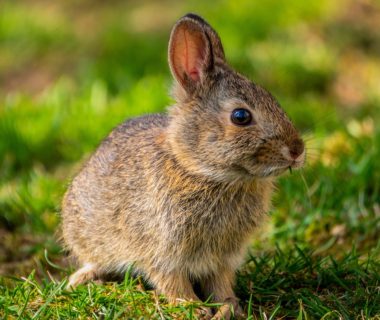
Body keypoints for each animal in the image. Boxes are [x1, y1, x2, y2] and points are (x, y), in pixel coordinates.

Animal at [62, 13, 306, 320]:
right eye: (241, 116)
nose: (297, 150)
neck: (201, 171)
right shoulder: (161, 251)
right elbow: (171, 281)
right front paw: (192, 307)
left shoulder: (222, 258)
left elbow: (220, 283)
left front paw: (229, 307)